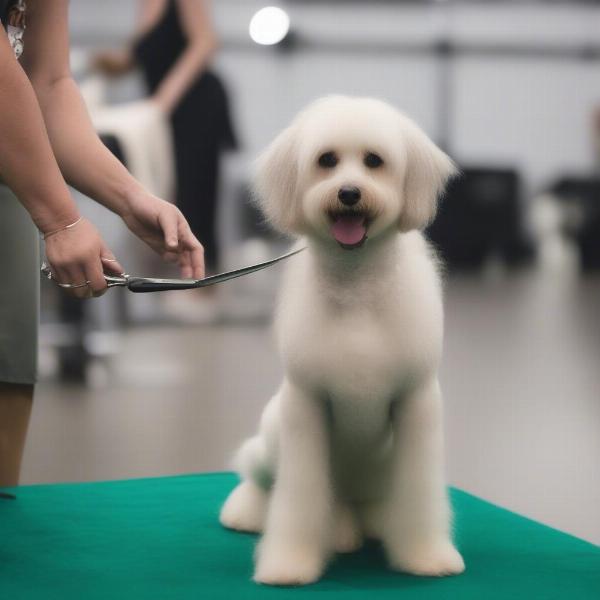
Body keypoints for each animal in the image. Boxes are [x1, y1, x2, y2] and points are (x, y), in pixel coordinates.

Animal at [220, 96, 464, 584]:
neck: (358, 287)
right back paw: (248, 512)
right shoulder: (307, 405)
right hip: (270, 438)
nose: (349, 193)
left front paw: (426, 556)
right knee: (257, 475)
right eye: (327, 160)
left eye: (374, 161)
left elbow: (420, 496)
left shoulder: (416, 402)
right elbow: (296, 499)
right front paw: (289, 563)